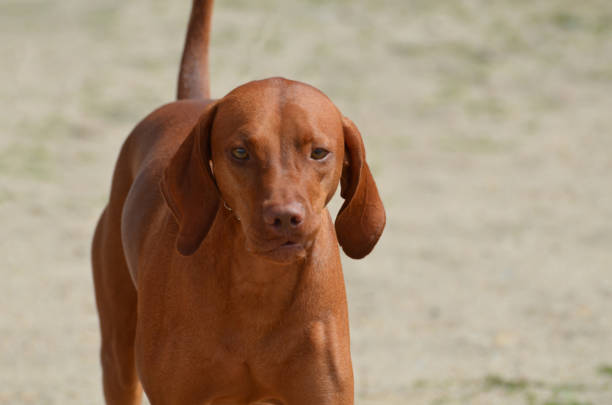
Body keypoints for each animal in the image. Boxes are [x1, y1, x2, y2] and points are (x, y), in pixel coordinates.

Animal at [91, 1, 384, 402]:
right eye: (241, 152)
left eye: (319, 152)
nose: (284, 218)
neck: (258, 284)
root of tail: (190, 100)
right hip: (118, 354)